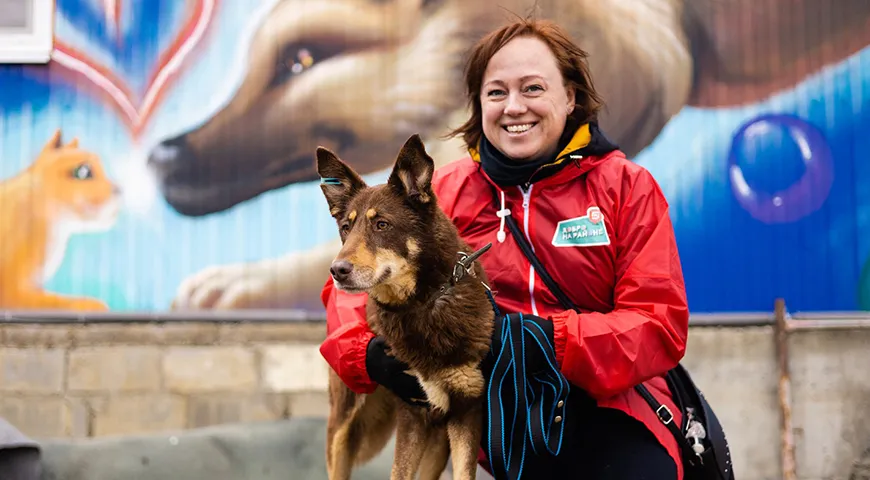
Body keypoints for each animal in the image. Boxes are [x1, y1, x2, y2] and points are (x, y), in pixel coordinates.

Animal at [318, 133, 498, 478]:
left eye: (382, 225)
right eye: (346, 228)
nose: (337, 270)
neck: (424, 303)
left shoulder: (467, 408)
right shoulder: (413, 410)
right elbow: (399, 472)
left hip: (437, 440)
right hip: (342, 426)